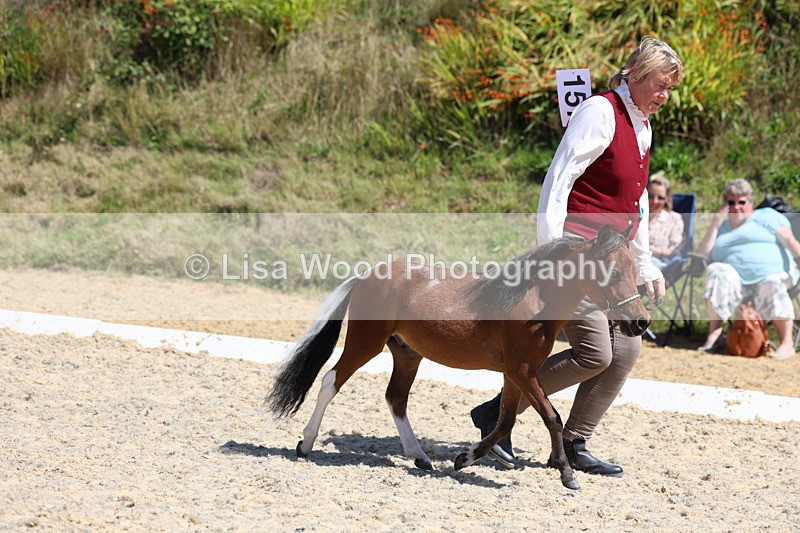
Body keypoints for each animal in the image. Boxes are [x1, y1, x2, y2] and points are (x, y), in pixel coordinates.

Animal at [267, 225, 650, 490]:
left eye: (636, 273)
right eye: (614, 273)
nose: (640, 322)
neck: (534, 302)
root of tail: (365, 276)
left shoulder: (516, 373)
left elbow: (505, 421)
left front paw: (464, 458)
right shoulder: (522, 370)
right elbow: (550, 417)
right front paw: (567, 474)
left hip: (407, 353)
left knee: (396, 398)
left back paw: (420, 458)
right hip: (366, 343)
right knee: (331, 381)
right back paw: (305, 444)